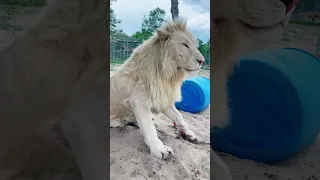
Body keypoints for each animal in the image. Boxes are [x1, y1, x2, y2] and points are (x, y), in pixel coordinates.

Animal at [110, 19, 205, 160]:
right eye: (185, 45)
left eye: (195, 45)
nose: (202, 61)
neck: (167, 74)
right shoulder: (138, 102)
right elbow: (150, 129)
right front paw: (160, 149)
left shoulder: (162, 98)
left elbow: (179, 116)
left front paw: (188, 134)